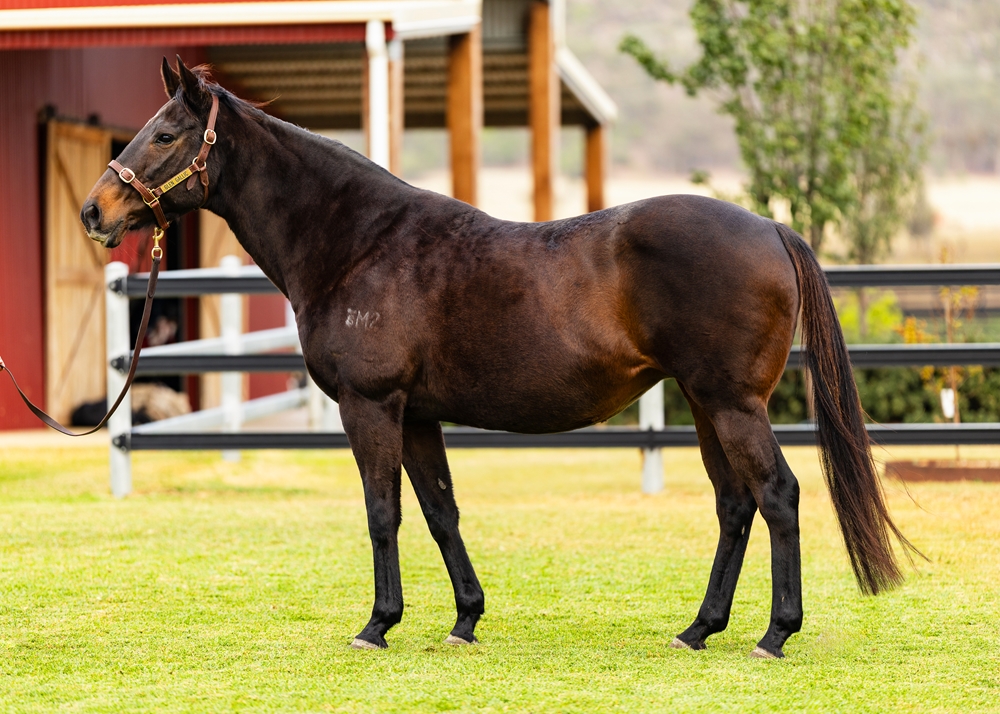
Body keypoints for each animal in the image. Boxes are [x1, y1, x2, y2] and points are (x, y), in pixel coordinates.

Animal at [81, 57, 916, 658]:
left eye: (164, 134)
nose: (95, 210)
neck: (360, 241)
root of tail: (770, 228)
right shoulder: (417, 416)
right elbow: (440, 512)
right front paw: (464, 620)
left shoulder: (371, 405)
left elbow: (382, 512)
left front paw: (377, 624)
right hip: (708, 406)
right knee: (735, 505)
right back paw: (698, 629)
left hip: (732, 405)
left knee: (777, 495)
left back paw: (774, 635)